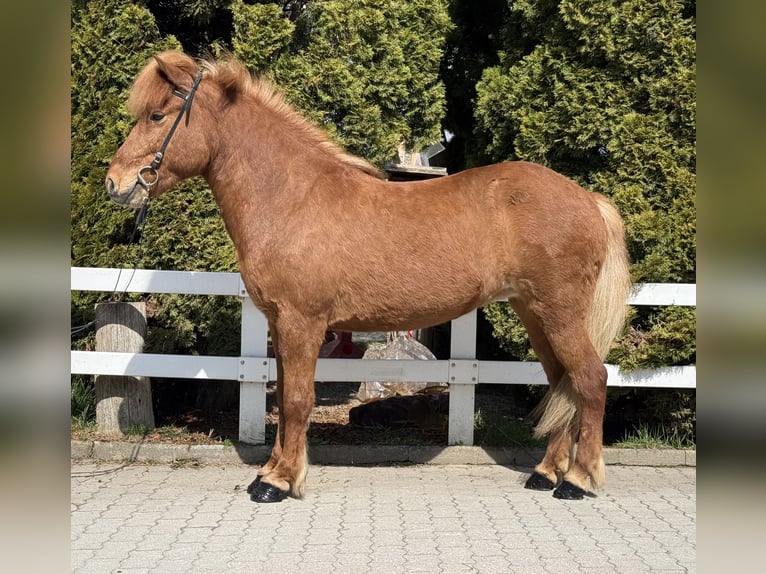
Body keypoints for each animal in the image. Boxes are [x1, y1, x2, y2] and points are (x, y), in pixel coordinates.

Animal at [105, 51, 631, 503]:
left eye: (157, 116)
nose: (115, 183)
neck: (292, 198)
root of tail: (589, 199)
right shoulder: (280, 324)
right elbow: (283, 399)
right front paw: (270, 472)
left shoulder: (301, 323)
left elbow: (297, 400)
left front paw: (279, 482)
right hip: (535, 313)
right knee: (563, 383)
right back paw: (546, 473)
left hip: (558, 313)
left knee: (590, 378)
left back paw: (578, 480)